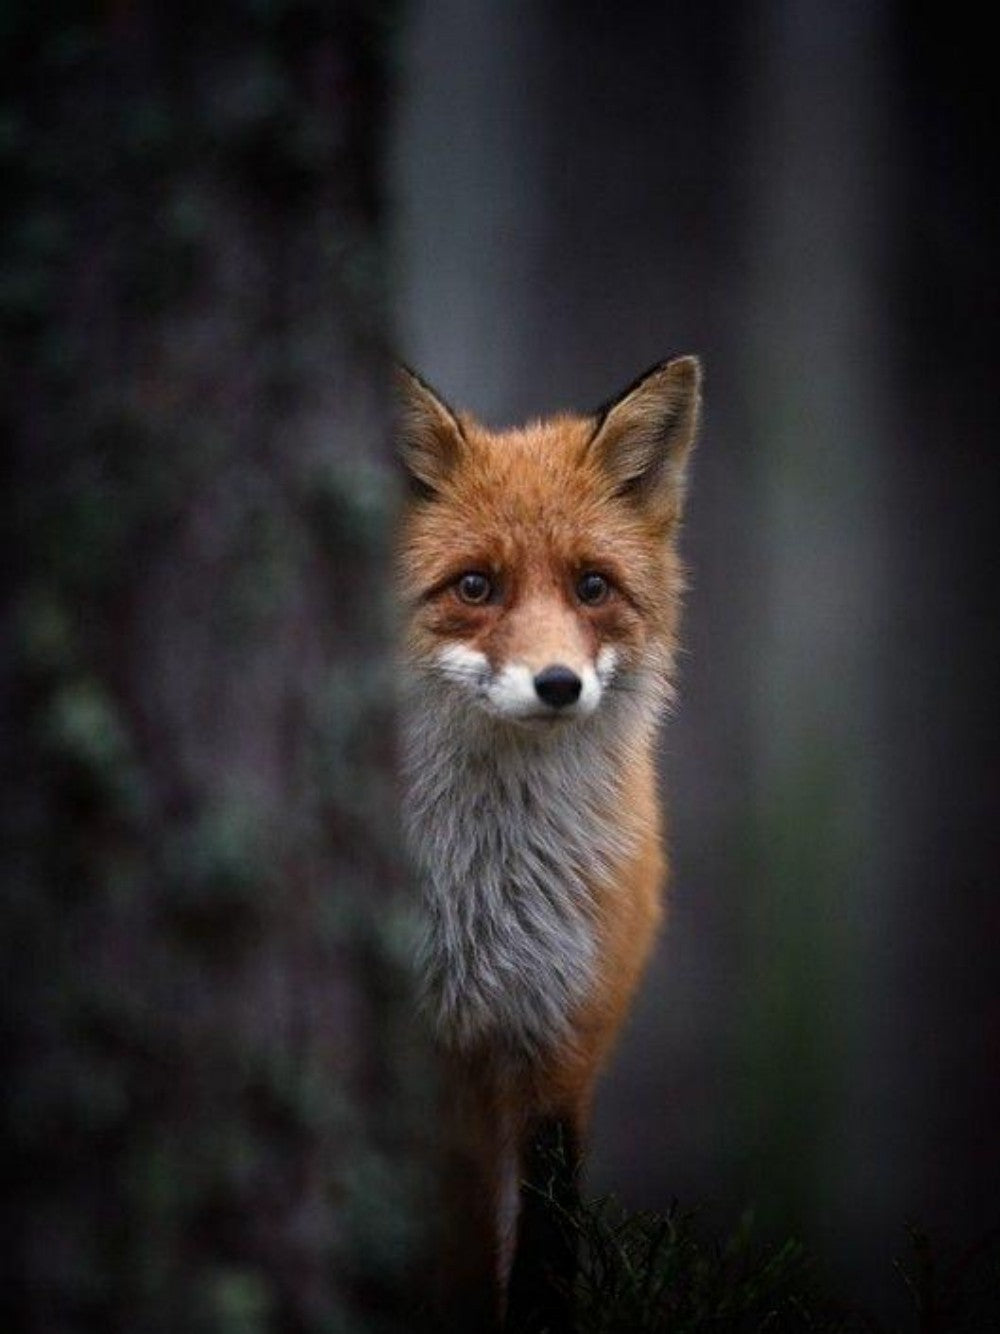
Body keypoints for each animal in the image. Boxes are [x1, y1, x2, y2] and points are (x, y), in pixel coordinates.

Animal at [395, 356, 702, 1330]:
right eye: (475, 587)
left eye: (592, 587)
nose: (559, 684)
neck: (478, 892)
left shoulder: (561, 1038)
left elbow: (547, 1242)